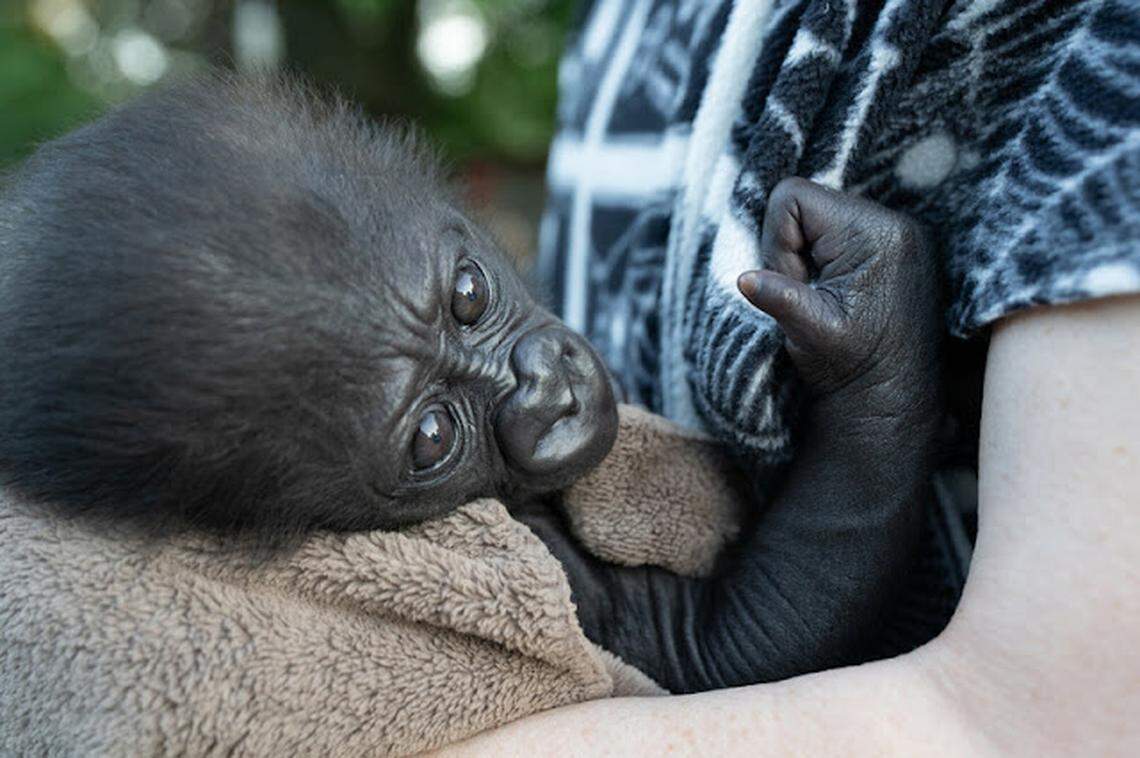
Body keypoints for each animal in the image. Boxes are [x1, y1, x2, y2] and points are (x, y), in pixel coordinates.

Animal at [0, 75, 943, 693]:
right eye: (432, 438)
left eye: (468, 295)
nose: (548, 396)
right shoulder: (537, 562)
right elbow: (729, 643)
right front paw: (869, 334)